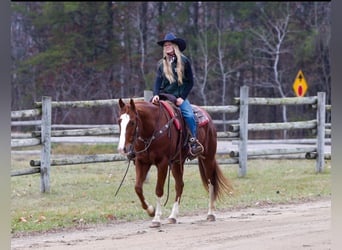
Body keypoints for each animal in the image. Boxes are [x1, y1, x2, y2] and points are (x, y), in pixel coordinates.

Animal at [117, 98, 232, 228]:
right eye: (119, 121)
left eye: (132, 122)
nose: (122, 149)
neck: (153, 129)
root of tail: (207, 116)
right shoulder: (142, 162)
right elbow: (137, 188)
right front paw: (151, 210)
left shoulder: (162, 163)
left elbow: (159, 190)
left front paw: (156, 219)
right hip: (177, 163)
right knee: (179, 185)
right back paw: (173, 216)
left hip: (208, 157)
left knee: (211, 182)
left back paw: (211, 214)